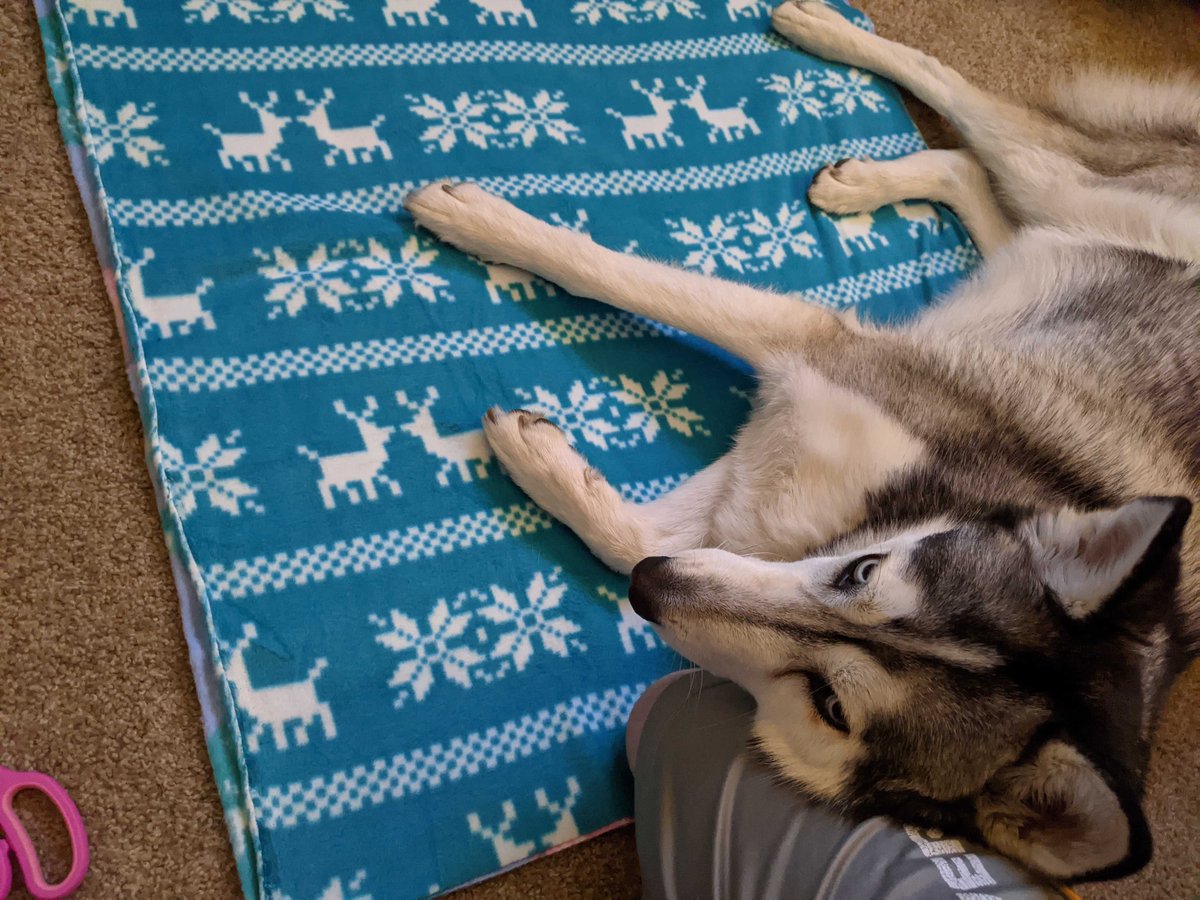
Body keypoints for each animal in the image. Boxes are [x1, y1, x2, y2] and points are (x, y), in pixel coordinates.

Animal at [224, 623, 336, 754]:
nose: (228, 672)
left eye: (234, 662)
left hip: (310, 704)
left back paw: (329, 731)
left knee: (323, 707)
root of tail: (310, 680)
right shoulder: (266, 720)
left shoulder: (272, 719)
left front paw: (281, 745)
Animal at [403, 0, 1200, 882]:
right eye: (863, 572)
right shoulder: (812, 370)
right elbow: (610, 270)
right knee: (967, 117)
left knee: (985, 178)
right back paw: (837, 72)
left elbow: (631, 529)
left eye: (831, 705)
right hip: (1062, 188)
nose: (653, 588)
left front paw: (539, 460)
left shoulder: (778, 434)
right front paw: (483, 222)